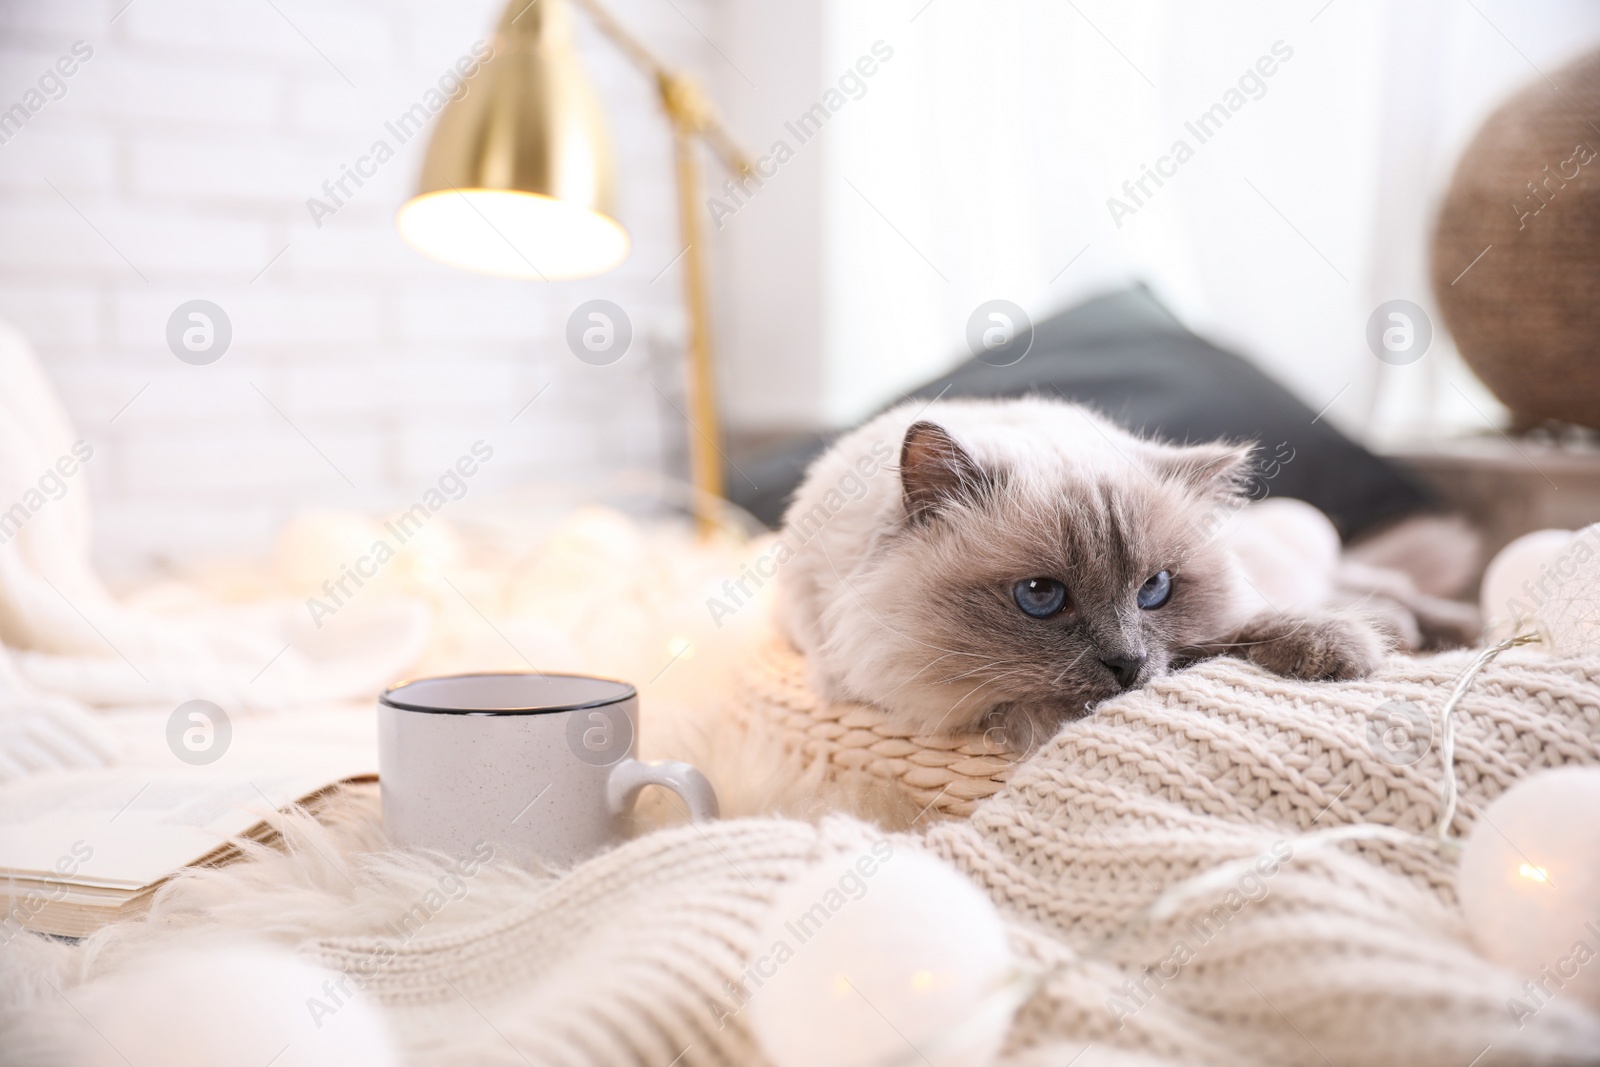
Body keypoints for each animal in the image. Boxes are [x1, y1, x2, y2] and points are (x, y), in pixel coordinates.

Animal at [774, 391, 1388, 751]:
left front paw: (1339, 652)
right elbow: (1023, 706)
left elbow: (1239, 628)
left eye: (1154, 589)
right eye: (1040, 595)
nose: (1128, 664)